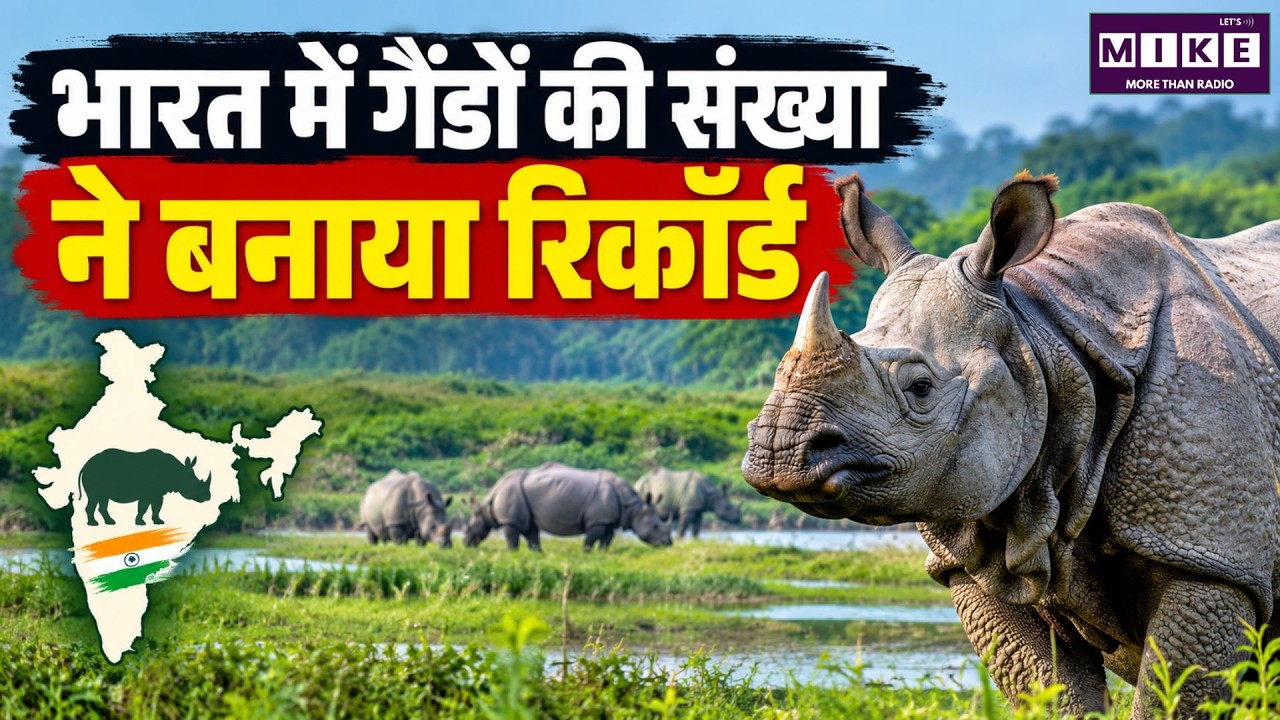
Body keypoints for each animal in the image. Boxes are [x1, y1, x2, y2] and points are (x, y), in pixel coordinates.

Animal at [78, 448, 212, 526]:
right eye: (194, 486)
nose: (208, 497)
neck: (177, 473)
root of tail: (85, 465)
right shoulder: (149, 492)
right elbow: (145, 507)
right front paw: (142, 523)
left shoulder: (156, 493)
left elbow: (154, 507)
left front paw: (156, 522)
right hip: (94, 475)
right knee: (94, 498)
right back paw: (93, 524)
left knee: (103, 499)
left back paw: (110, 522)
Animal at [463, 462, 672, 551]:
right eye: (655, 526)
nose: (668, 543)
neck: (634, 507)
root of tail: (498, 486)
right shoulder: (598, 521)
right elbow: (590, 540)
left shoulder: (608, 521)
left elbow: (606, 540)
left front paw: (602, 554)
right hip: (514, 492)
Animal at [741, 172, 1280, 717]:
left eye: (921, 387)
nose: (778, 450)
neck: (1044, 338)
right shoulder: (972, 551)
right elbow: (1050, 688)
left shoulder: (1212, 563)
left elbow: (1173, 693)